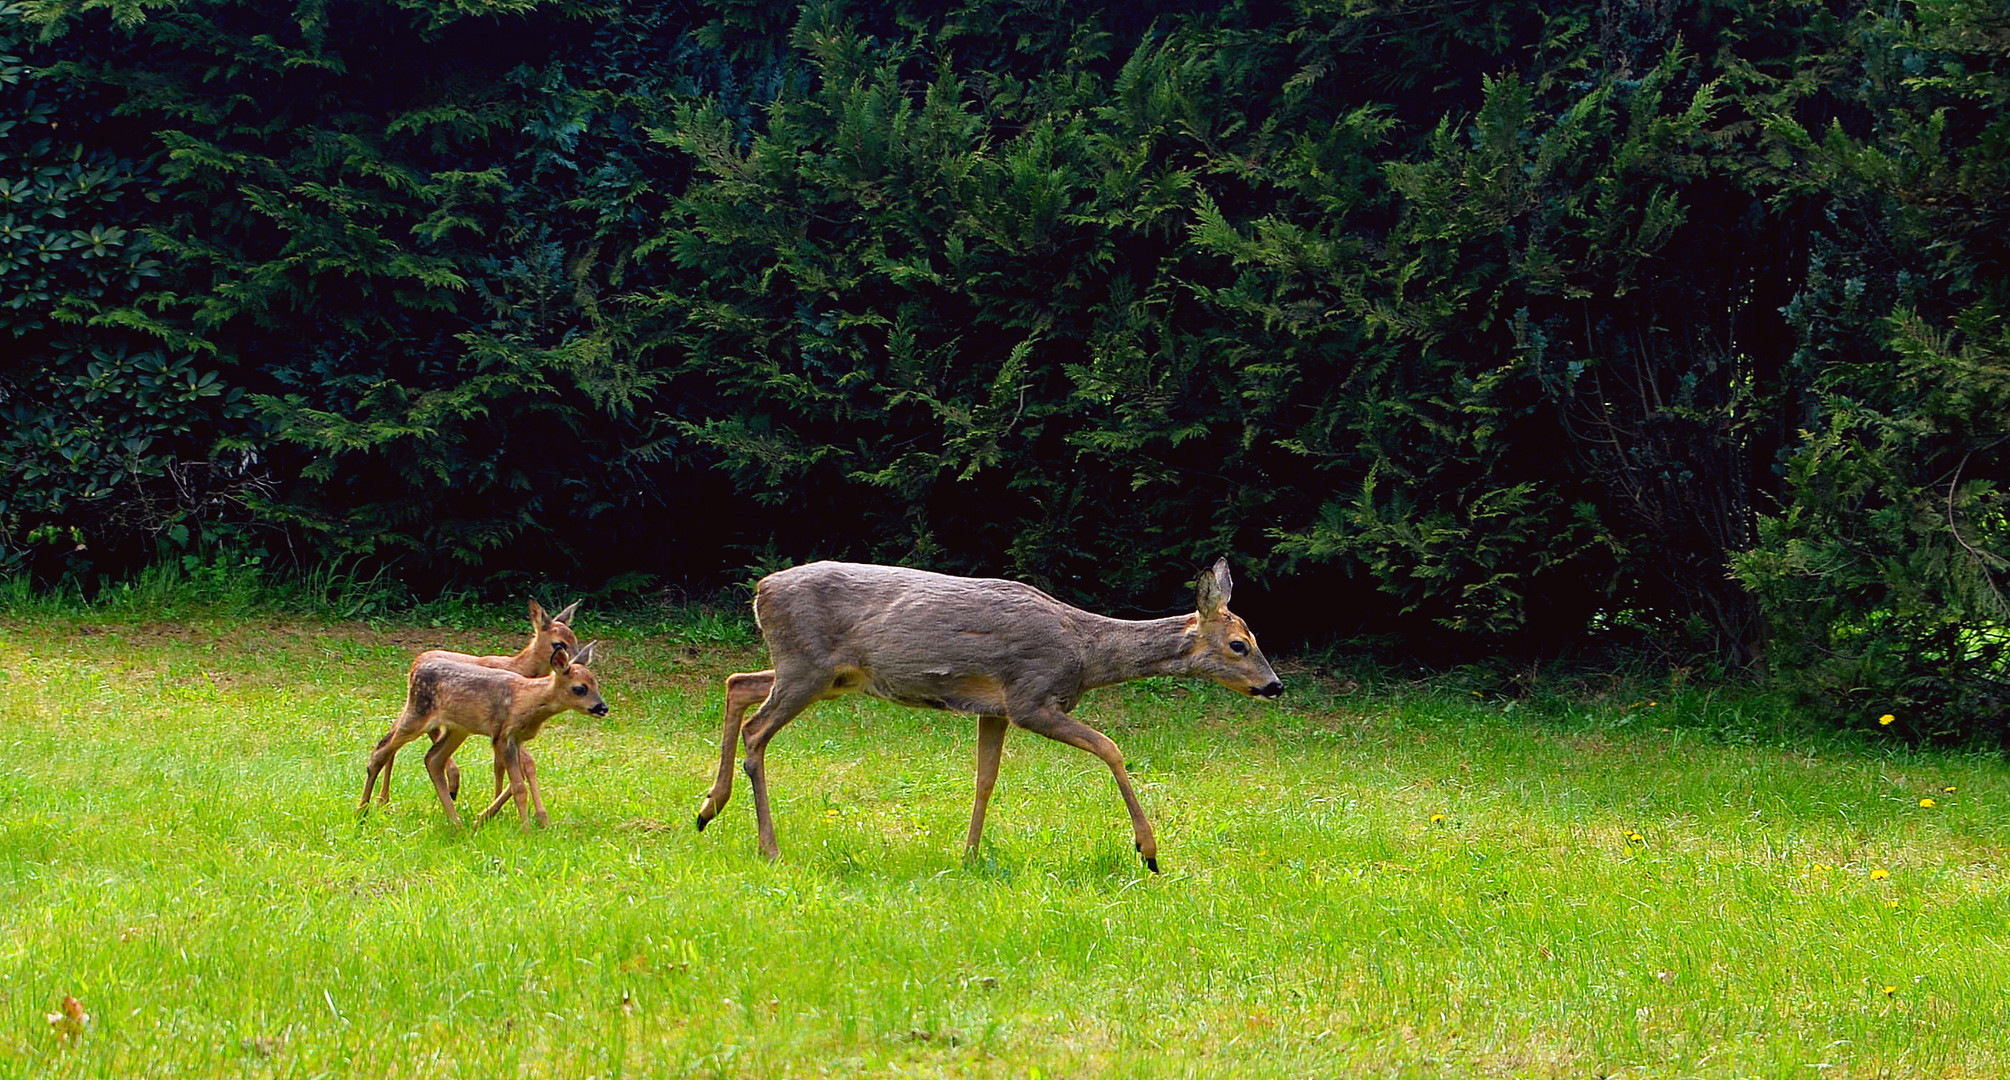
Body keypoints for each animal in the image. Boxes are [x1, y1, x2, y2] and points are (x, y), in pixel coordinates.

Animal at [361, 643, 607, 828]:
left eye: (596, 684)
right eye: (579, 688)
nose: (602, 707)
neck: (527, 699)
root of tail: (414, 668)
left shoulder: (515, 738)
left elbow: (524, 773)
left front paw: (489, 818)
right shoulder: (503, 736)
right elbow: (519, 786)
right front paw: (526, 831)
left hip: (457, 729)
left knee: (432, 759)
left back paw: (456, 822)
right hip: (418, 712)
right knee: (381, 749)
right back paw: (362, 811)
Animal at [369, 603, 582, 804]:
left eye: (576, 640)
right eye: (558, 643)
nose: (578, 662)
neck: (520, 669)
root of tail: (415, 662)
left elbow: (504, 765)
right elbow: (508, 764)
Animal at [699, 555, 1278, 868]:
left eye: (1254, 638)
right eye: (1238, 645)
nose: (1274, 685)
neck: (1086, 652)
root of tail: (761, 589)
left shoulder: (993, 709)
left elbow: (985, 779)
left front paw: (970, 855)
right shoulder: (1029, 698)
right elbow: (1111, 747)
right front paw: (1149, 848)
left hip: (822, 675)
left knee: (737, 684)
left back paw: (708, 808)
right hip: (808, 667)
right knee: (756, 731)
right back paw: (768, 847)